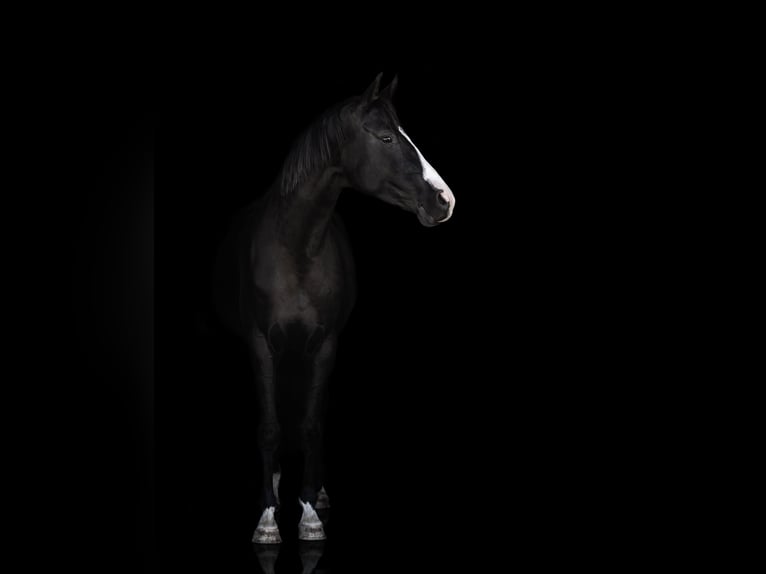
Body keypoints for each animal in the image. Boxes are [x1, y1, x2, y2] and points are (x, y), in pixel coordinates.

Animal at [214, 73, 455, 544]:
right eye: (385, 137)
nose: (445, 200)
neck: (295, 249)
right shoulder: (260, 344)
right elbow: (269, 427)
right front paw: (267, 517)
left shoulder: (325, 345)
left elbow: (311, 424)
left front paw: (309, 513)